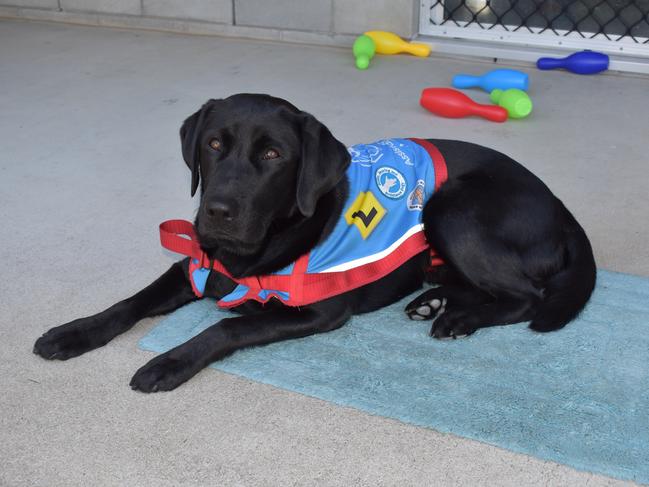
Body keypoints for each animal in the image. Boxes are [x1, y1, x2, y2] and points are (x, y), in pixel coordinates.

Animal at [34, 94, 592, 392]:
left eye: (273, 154)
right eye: (213, 144)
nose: (217, 211)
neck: (257, 248)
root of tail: (560, 206)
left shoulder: (319, 310)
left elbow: (225, 328)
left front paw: (169, 361)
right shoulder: (191, 266)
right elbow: (128, 303)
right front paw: (73, 333)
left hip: (451, 211)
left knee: (526, 297)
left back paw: (457, 319)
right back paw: (434, 302)